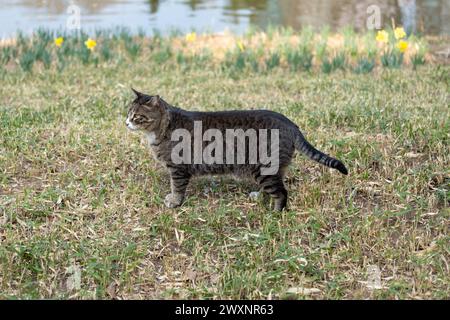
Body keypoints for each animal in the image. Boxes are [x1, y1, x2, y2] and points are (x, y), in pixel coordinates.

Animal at [126, 89, 348, 211]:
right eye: (127, 113)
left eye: (136, 116)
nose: (126, 123)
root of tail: (291, 124)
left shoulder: (178, 169)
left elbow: (177, 187)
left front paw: (174, 201)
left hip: (265, 168)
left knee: (282, 193)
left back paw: (276, 213)